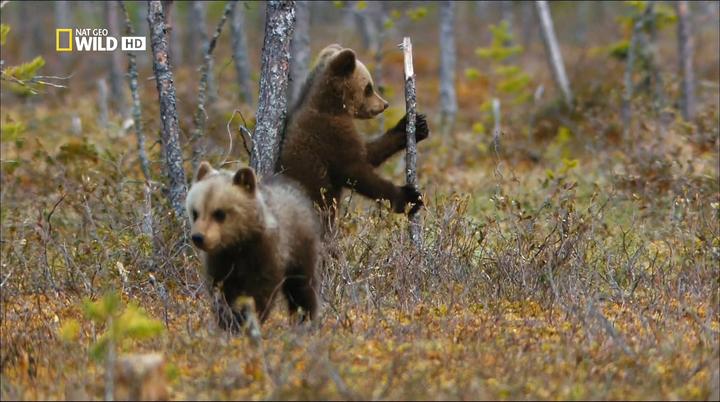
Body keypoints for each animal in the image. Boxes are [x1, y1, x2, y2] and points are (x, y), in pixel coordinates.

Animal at [185, 161, 320, 331]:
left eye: (219, 213)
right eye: (195, 212)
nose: (198, 237)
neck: (237, 245)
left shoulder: (264, 255)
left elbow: (260, 292)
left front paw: (247, 319)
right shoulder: (219, 261)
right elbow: (220, 291)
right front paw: (227, 321)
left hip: (300, 246)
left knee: (301, 286)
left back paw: (305, 319)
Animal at [278, 44, 430, 227]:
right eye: (369, 88)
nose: (384, 104)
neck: (334, 106)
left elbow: (369, 152)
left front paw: (415, 125)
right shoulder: (328, 135)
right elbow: (356, 171)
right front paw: (409, 197)